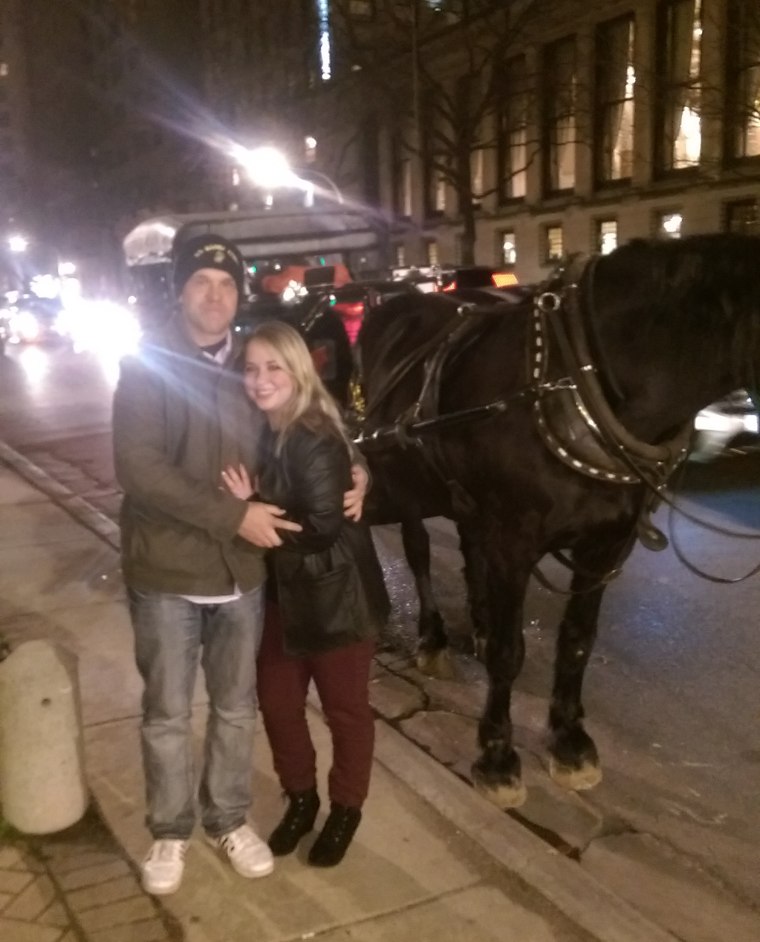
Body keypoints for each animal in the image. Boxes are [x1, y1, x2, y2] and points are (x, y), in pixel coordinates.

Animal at [356, 232, 760, 808]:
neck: (581, 380)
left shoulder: (606, 546)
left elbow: (577, 641)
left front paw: (568, 740)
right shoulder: (515, 542)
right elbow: (510, 653)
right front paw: (497, 757)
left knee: (469, 544)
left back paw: (478, 624)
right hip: (405, 482)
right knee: (418, 552)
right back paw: (433, 639)